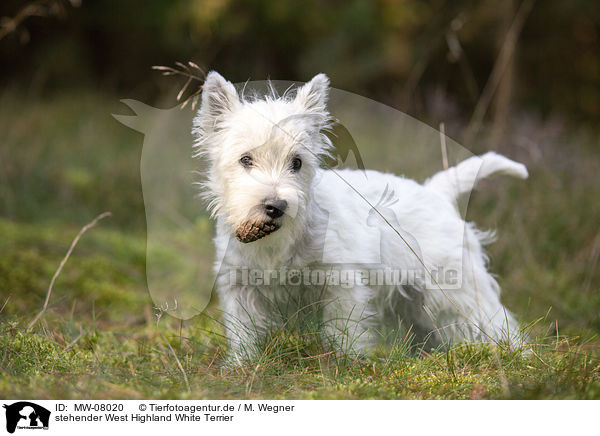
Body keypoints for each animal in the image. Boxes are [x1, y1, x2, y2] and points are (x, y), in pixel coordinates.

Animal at [195, 70, 528, 360]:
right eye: (245, 159)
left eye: (297, 162)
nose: (276, 206)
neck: (276, 243)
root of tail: (437, 192)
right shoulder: (240, 287)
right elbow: (244, 333)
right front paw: (242, 366)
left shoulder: (341, 284)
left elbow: (342, 330)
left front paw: (345, 363)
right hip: (416, 304)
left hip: (458, 288)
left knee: (496, 323)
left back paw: (517, 357)